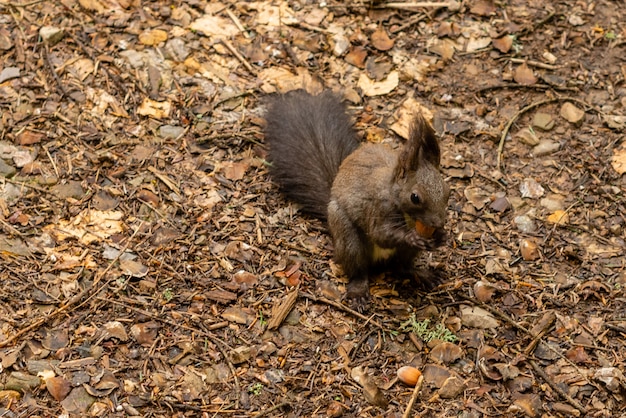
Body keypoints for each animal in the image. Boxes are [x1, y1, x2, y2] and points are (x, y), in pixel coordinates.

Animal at [264, 90, 448, 306]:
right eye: (415, 197)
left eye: (448, 192)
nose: (438, 222)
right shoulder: (379, 208)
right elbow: (380, 233)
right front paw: (411, 236)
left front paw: (442, 236)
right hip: (348, 238)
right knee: (358, 270)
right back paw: (358, 290)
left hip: (405, 252)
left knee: (402, 266)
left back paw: (421, 273)